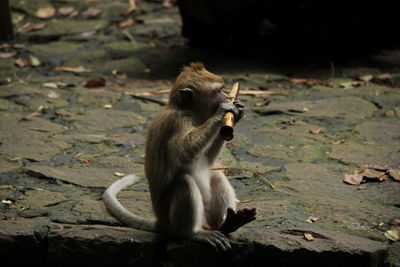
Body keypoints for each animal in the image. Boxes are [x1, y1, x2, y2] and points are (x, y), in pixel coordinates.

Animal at [104, 62, 256, 251]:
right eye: (219, 91)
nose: (228, 97)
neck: (190, 112)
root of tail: (161, 223)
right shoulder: (177, 123)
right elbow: (184, 153)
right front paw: (222, 113)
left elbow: (208, 160)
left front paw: (239, 111)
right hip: (172, 221)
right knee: (184, 181)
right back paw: (193, 234)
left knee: (216, 174)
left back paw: (227, 223)